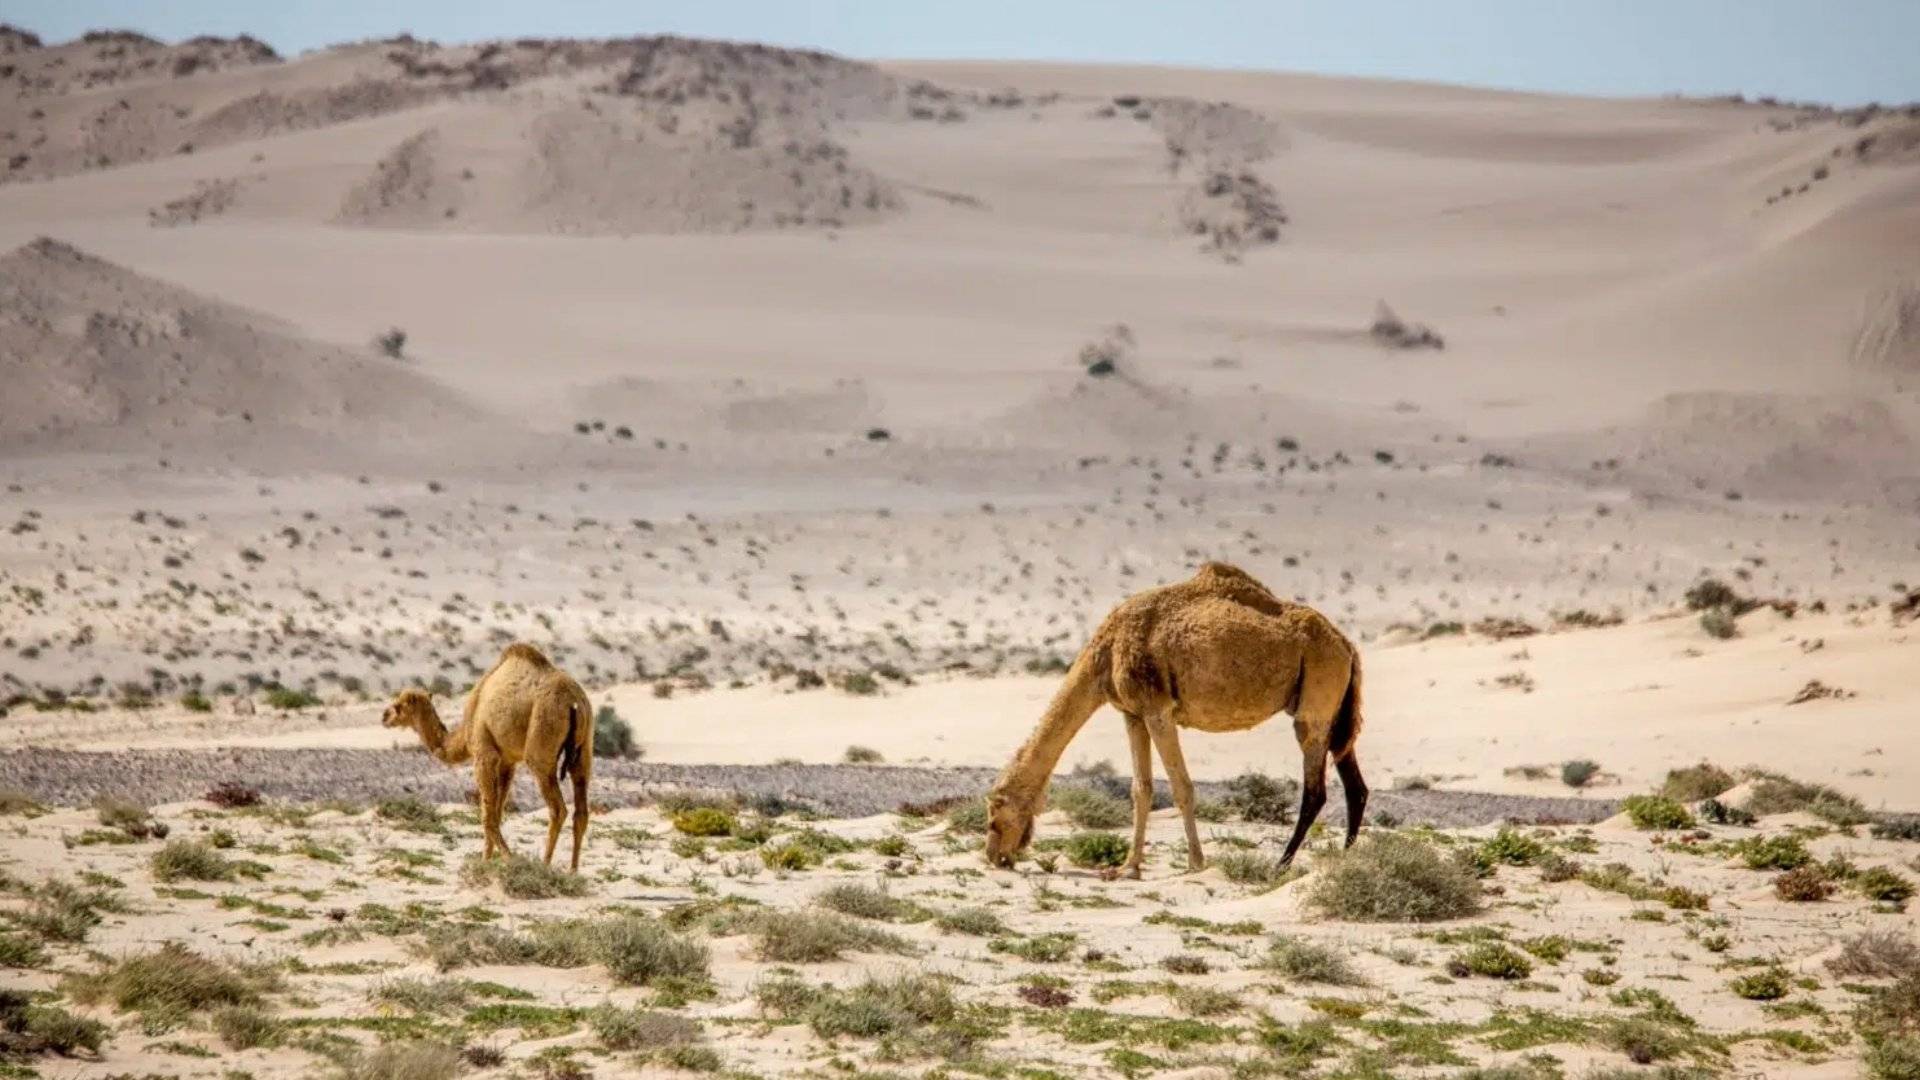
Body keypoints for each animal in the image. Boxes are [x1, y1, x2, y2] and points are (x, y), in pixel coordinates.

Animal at [383, 643, 594, 870]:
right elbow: (497, 811)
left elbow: (487, 815)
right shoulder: (507, 760)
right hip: (584, 749)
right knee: (581, 809)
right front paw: (489, 859)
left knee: (558, 809)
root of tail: (573, 702)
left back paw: (544, 865)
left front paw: (503, 859)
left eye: (398, 706)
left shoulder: (484, 753)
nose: (384, 716)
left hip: (541, 742)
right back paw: (573, 871)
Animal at [984, 562, 1366, 878]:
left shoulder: (1158, 710)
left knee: (1315, 790)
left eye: (994, 815)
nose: (993, 856)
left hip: (1315, 699)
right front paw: (1128, 867)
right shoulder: (1133, 714)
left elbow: (1181, 787)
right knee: (1354, 784)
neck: (1105, 654)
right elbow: (1141, 789)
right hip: (1335, 710)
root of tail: (1346, 644)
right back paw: (1345, 859)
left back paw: (1280, 865)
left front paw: (1196, 862)